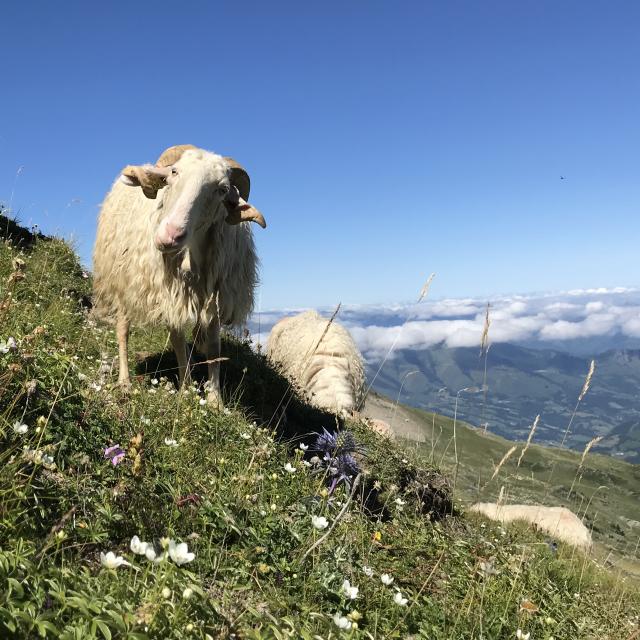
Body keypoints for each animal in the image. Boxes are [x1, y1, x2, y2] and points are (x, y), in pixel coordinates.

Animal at [92, 145, 268, 404]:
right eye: (174, 172)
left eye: (223, 189)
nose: (170, 235)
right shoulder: (170, 296)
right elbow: (176, 340)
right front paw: (185, 390)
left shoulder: (216, 297)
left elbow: (213, 346)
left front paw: (215, 400)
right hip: (123, 281)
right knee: (123, 329)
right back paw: (124, 382)